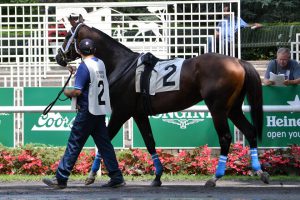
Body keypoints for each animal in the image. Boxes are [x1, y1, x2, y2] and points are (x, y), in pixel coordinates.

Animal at [55, 23, 270, 188]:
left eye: (66, 35)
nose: (58, 57)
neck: (122, 66)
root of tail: (239, 61)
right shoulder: (138, 114)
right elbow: (149, 142)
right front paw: (157, 176)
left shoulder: (121, 112)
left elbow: (104, 142)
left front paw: (92, 176)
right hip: (233, 108)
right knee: (250, 131)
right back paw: (260, 172)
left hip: (218, 108)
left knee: (225, 138)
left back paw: (215, 177)